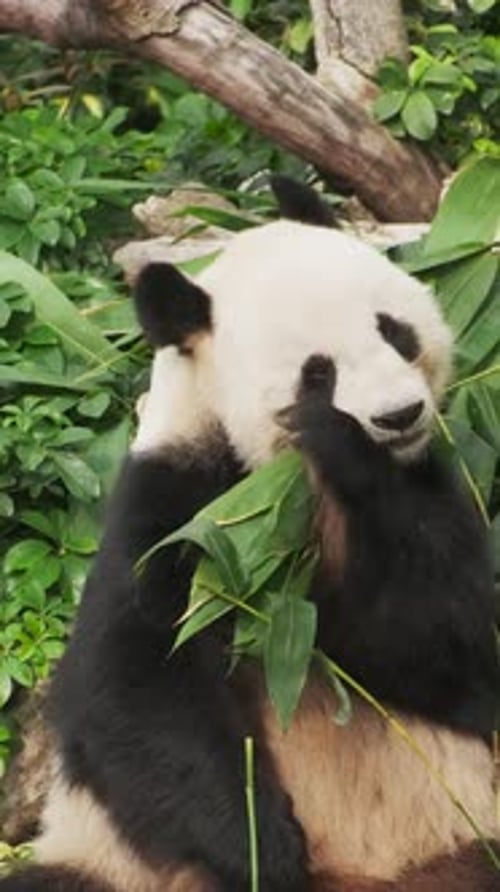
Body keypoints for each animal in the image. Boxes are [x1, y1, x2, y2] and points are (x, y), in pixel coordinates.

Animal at [1, 178, 498, 892]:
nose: (399, 414)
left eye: (394, 331)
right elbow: (138, 686)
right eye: (316, 371)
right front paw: (268, 855)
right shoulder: (182, 511)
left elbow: (446, 643)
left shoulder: (426, 487)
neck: (286, 487)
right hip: (109, 864)